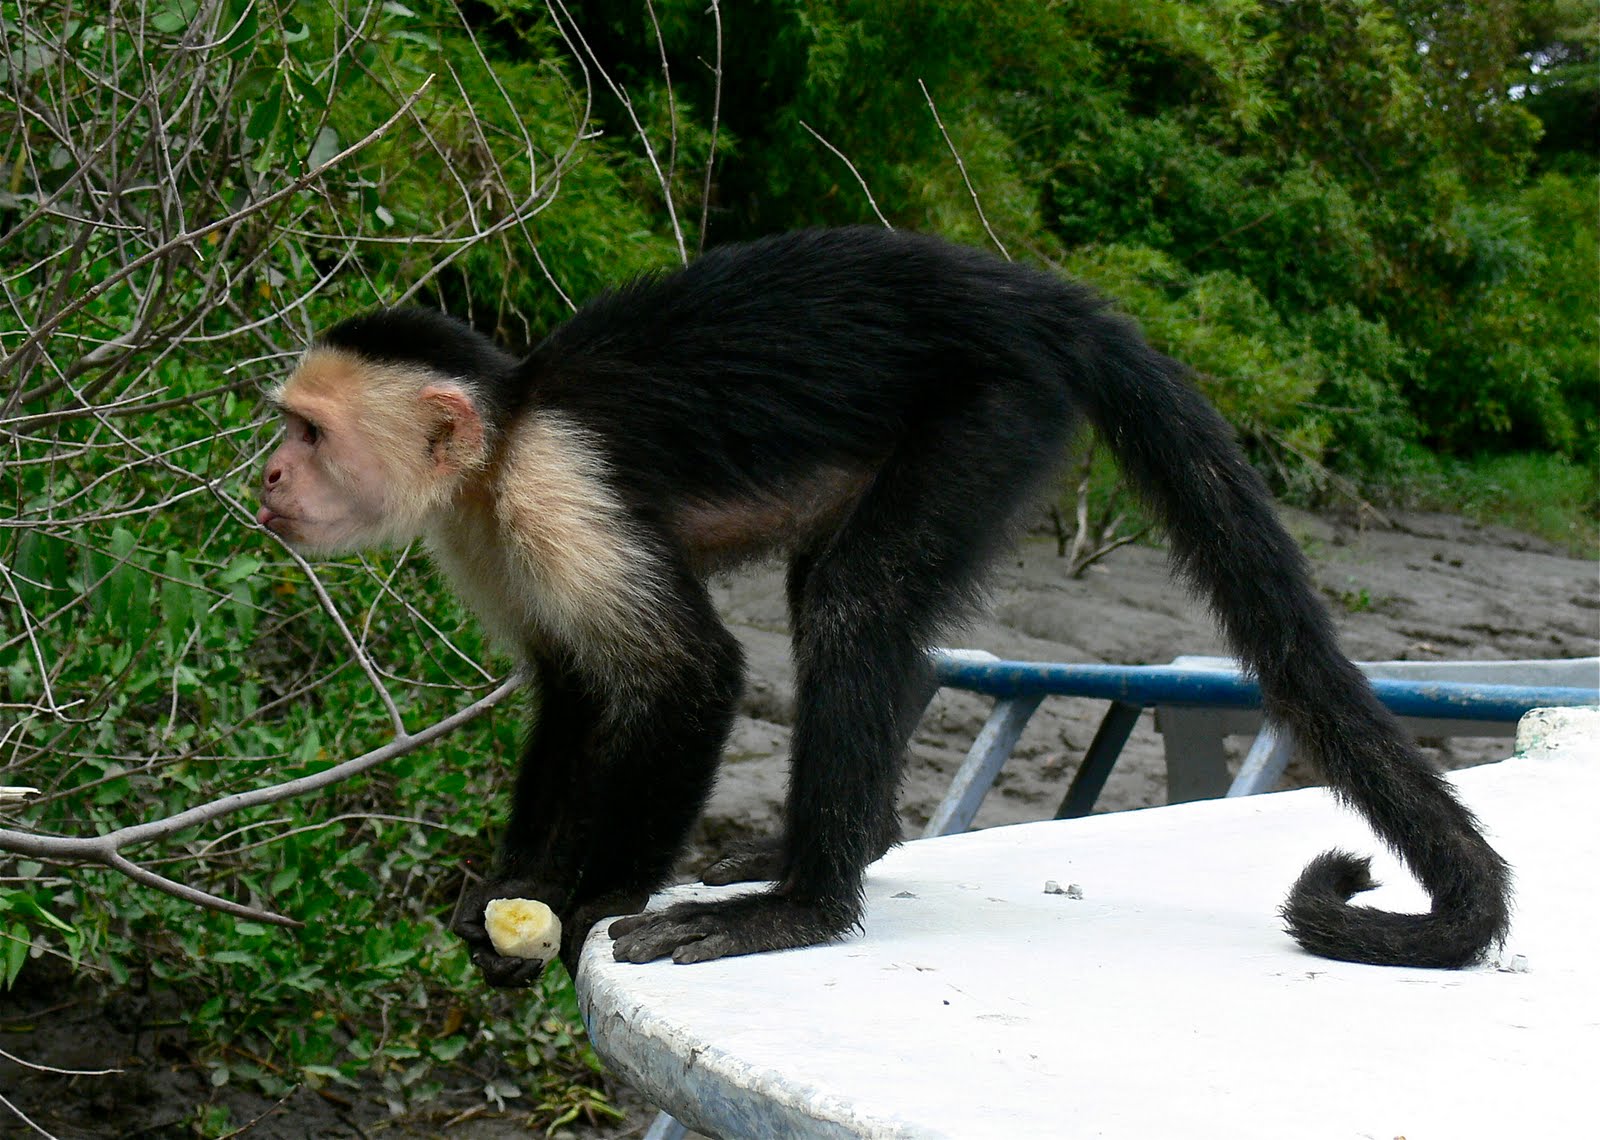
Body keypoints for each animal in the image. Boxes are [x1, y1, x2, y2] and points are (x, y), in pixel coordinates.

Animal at [257, 227, 1510, 987]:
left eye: (308, 433)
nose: (265, 477)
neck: (506, 434)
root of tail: (1032, 293)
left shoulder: (555, 487)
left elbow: (691, 676)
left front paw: (597, 899)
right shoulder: (477, 529)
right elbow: (571, 688)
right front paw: (518, 892)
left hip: (997, 403)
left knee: (852, 609)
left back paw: (802, 905)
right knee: (849, 602)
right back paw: (839, 844)